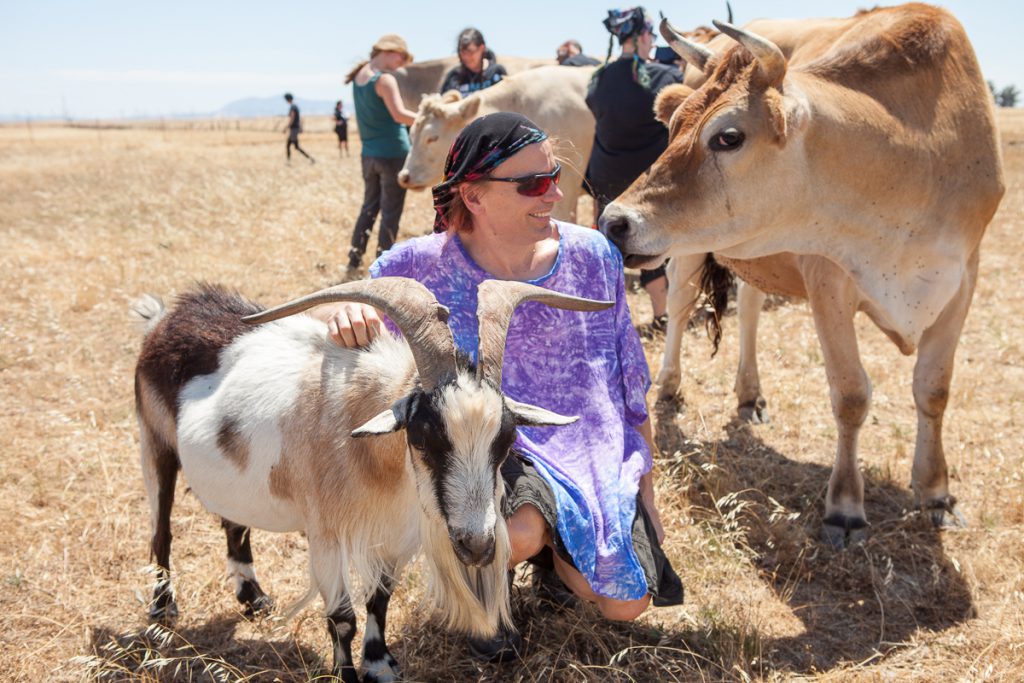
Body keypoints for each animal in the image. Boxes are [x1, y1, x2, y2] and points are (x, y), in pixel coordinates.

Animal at [131, 278, 602, 683]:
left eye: (505, 439)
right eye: (423, 436)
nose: (477, 546)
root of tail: (166, 319)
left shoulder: (393, 534)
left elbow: (380, 599)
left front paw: (379, 664)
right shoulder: (325, 535)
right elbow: (342, 617)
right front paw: (346, 675)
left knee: (233, 520)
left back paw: (254, 599)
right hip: (154, 445)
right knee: (161, 532)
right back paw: (161, 613)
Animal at [602, 5, 1003, 548]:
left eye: (729, 136)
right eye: (675, 127)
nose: (613, 220)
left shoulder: (961, 281)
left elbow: (934, 389)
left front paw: (936, 492)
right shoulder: (827, 278)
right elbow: (851, 393)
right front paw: (845, 507)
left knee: (749, 307)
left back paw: (750, 394)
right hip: (687, 250)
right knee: (682, 306)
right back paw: (669, 387)